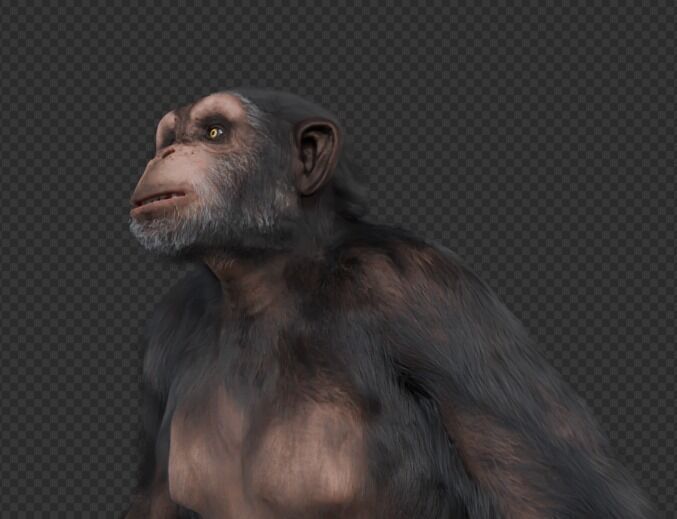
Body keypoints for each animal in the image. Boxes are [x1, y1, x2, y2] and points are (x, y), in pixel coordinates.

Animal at [123, 88, 656, 518]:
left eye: (213, 132)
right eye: (167, 136)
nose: (167, 151)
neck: (267, 281)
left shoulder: (425, 292)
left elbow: (555, 493)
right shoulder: (166, 327)